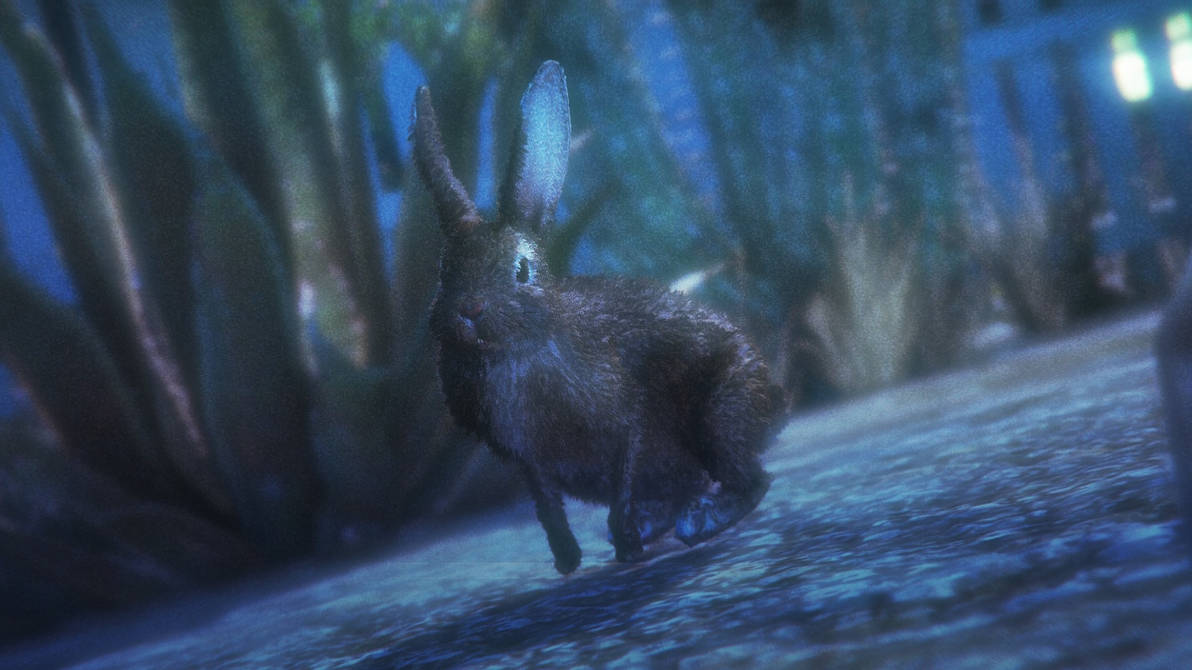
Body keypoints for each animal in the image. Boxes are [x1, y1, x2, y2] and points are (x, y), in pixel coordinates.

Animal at [413, 61, 786, 574]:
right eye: (443, 272)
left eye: (521, 271)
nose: (469, 309)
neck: (512, 353)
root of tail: (777, 403)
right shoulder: (527, 458)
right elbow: (547, 508)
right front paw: (569, 560)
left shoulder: (623, 421)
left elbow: (620, 483)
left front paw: (625, 550)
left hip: (720, 419)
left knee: (750, 479)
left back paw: (698, 523)